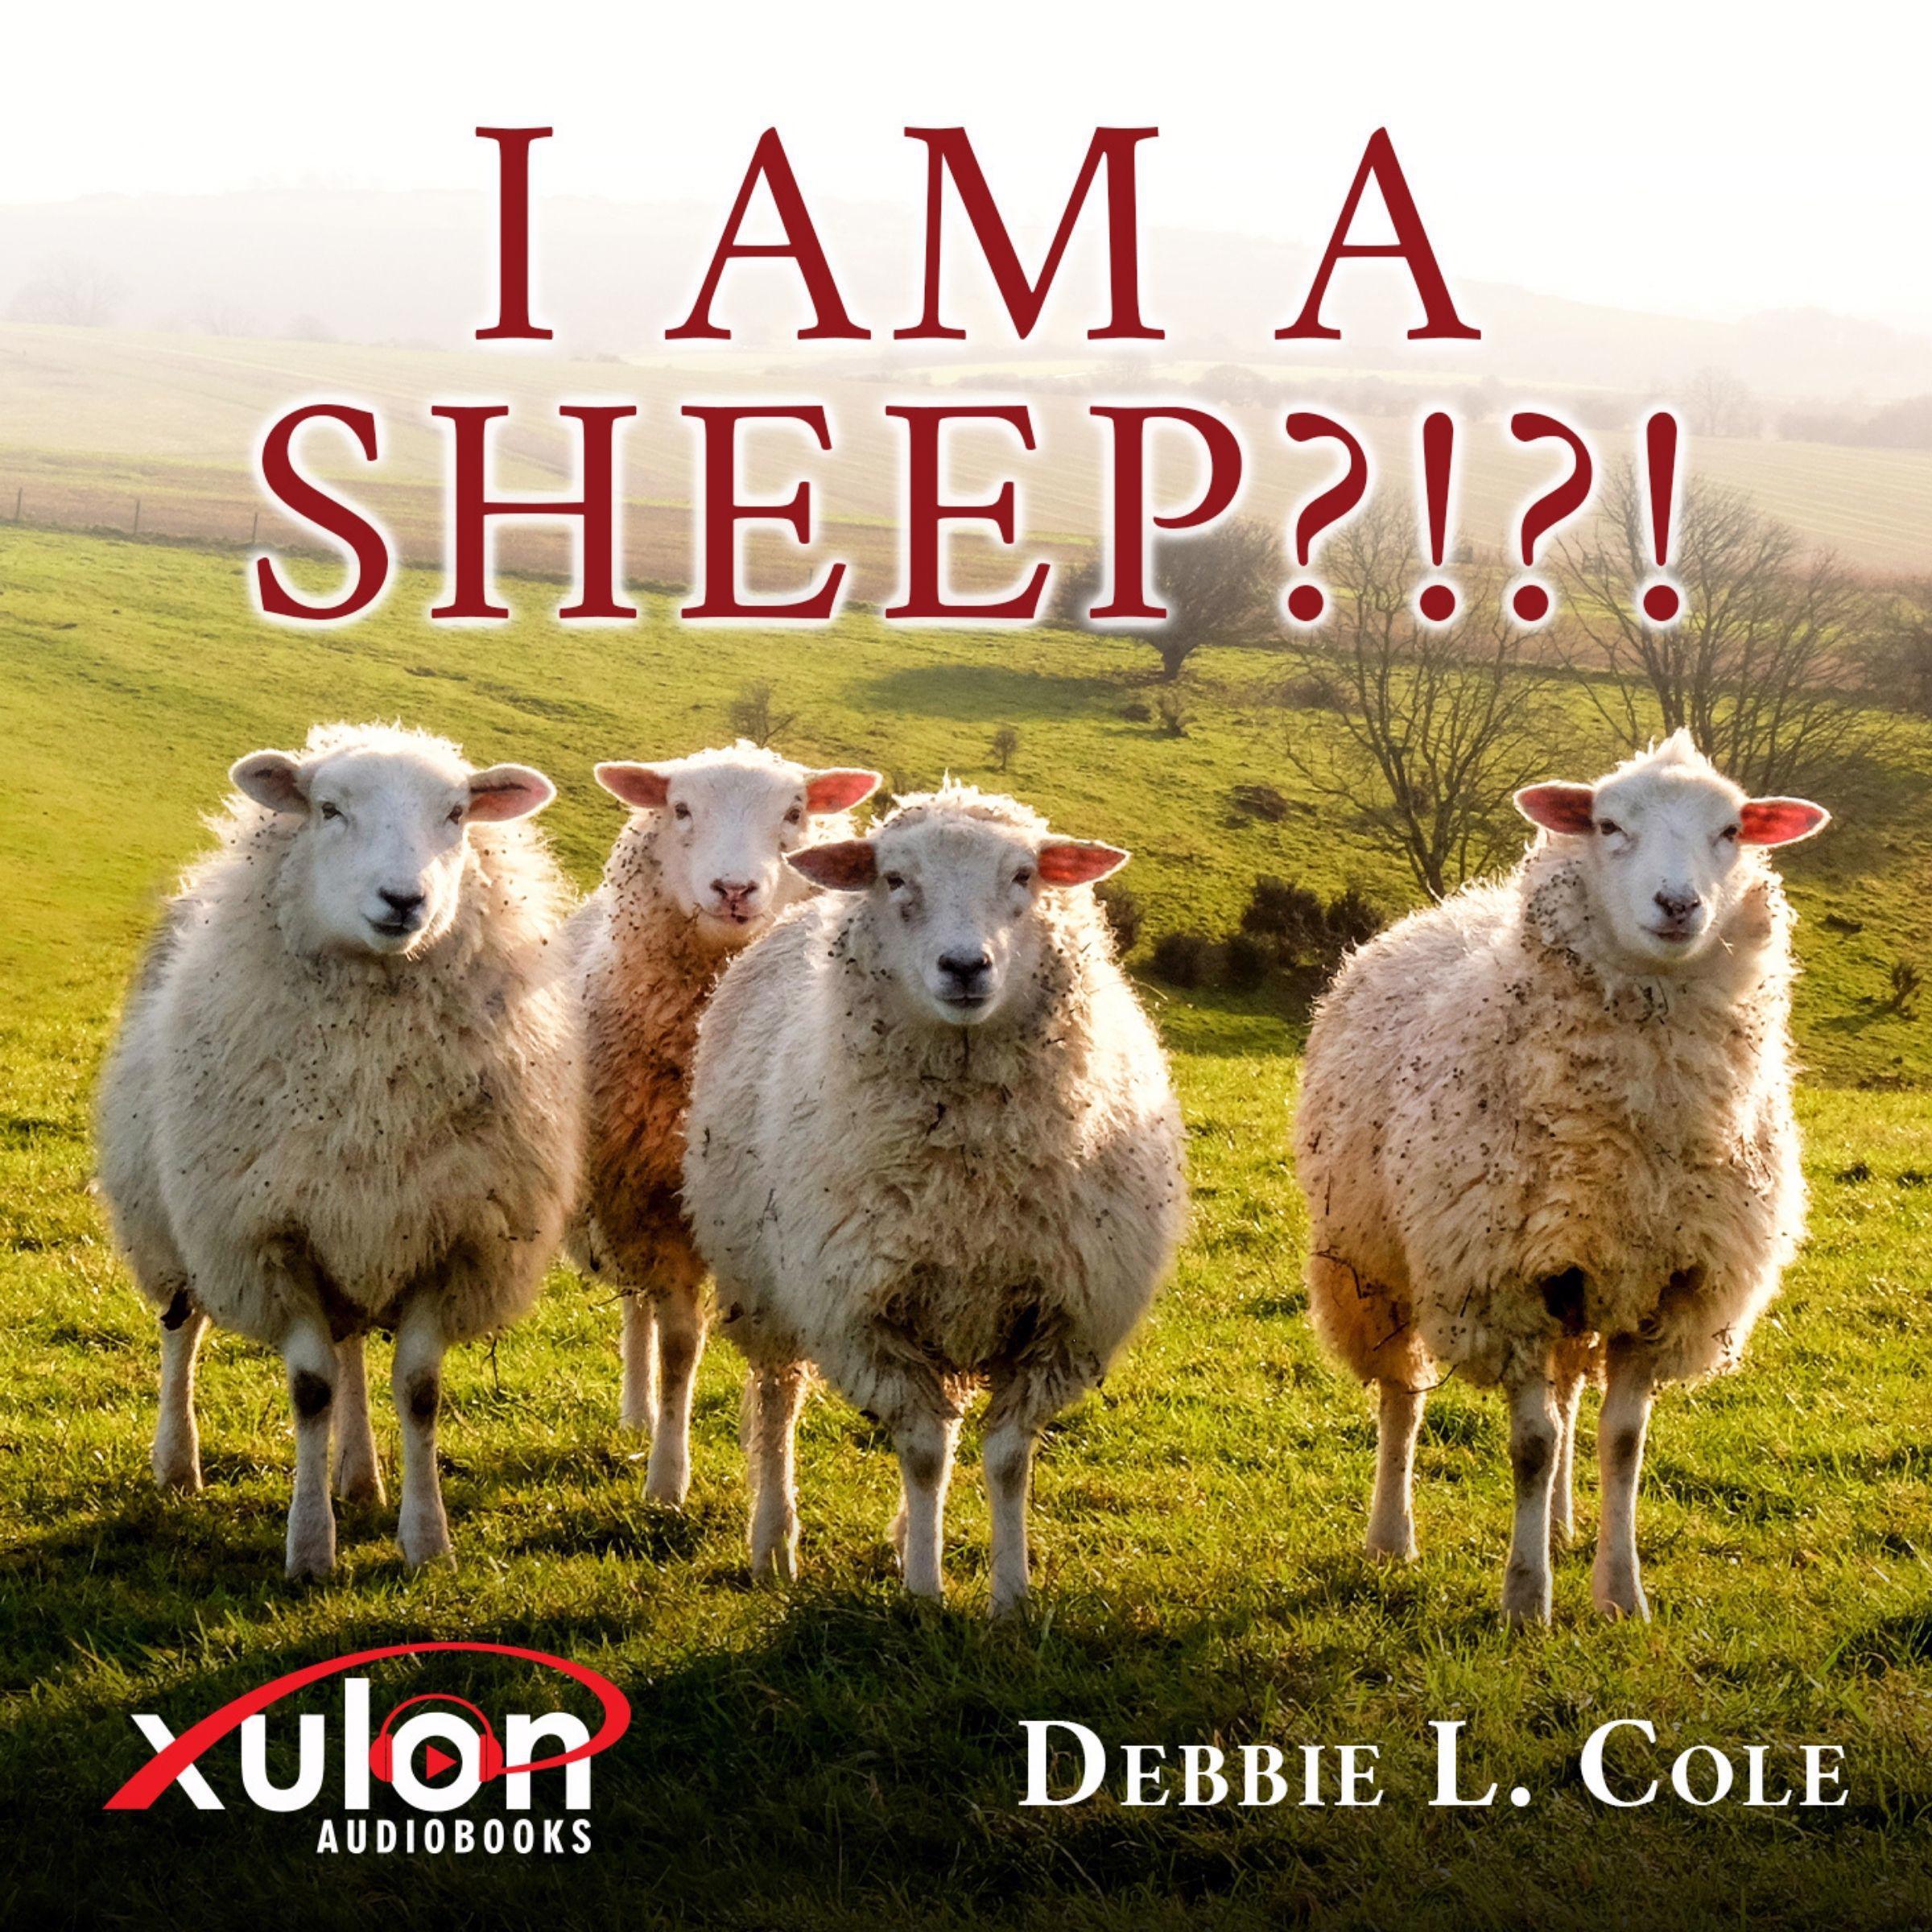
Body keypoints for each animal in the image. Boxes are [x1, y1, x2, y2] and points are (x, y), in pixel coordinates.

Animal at [96, 722, 580, 1578]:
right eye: (328, 809)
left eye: (457, 813)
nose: (404, 900)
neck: (373, 1093)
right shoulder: (270, 1240)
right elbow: (311, 1390)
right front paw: (310, 1549)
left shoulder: (449, 1239)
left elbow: (417, 1390)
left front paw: (426, 1542)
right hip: (173, 1225)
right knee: (181, 1333)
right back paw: (178, 1464)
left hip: (359, 1232)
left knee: (353, 1346)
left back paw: (359, 1477)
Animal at [566, 743, 880, 1504]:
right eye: (681, 808)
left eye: (795, 812)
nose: (735, 889)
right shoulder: (651, 1204)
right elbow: (680, 1343)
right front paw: (666, 1476)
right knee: (638, 1306)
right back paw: (639, 1411)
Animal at [681, 783, 1188, 1614]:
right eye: (893, 879)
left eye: (1024, 875)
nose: (965, 966)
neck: (967, 1184)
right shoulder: (865, 1313)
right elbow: (922, 1453)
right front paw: (924, 1592)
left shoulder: (1058, 1324)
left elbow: (1006, 1458)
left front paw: (1009, 1597)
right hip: (765, 1288)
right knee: (778, 1401)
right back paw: (774, 1544)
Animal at [1293, 731, 1828, 1624]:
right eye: (1608, 824)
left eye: (1731, 831)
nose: (1678, 904)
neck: (1637, 1139)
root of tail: (1450, 906)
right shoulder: (1503, 1286)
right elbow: (1532, 1445)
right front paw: (1525, 1599)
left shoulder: (1665, 1286)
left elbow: (1622, 1442)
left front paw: (1620, 1593)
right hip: (1376, 1267)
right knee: (1403, 1399)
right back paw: (1392, 1536)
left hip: (1580, 1280)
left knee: (1571, 1391)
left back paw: (1567, 1525)